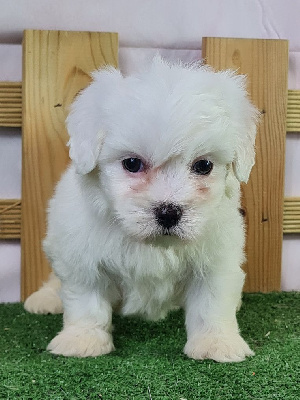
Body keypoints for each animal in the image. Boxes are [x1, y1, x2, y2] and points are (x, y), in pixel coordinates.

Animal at [24, 57, 258, 362]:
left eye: (204, 165)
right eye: (132, 164)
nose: (169, 213)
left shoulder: (216, 257)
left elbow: (212, 301)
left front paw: (216, 343)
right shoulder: (82, 255)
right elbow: (86, 298)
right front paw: (82, 340)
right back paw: (47, 298)